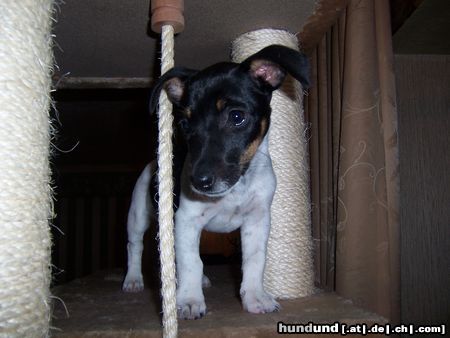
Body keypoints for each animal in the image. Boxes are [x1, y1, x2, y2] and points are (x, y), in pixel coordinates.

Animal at [122, 45, 310, 320]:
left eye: (236, 116)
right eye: (185, 124)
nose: (198, 182)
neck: (235, 189)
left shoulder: (257, 220)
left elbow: (254, 260)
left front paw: (255, 297)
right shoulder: (186, 219)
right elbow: (191, 261)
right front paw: (189, 300)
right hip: (138, 214)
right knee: (134, 245)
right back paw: (134, 279)